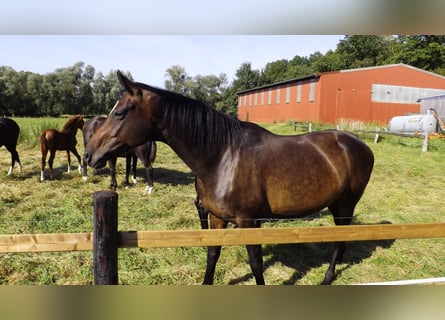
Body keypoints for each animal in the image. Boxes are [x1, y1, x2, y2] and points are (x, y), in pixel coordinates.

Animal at [84, 71, 374, 284]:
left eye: (119, 113)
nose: (89, 154)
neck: (222, 156)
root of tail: (359, 144)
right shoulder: (215, 217)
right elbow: (212, 254)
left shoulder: (248, 222)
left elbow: (256, 264)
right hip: (336, 204)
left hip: (346, 205)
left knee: (341, 239)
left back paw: (327, 277)